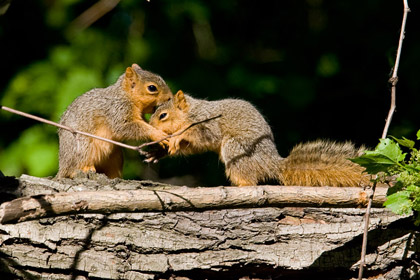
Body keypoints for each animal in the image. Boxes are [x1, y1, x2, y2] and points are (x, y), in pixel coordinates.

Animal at [148, 89, 368, 186]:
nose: (150, 127)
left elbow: (201, 135)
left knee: (249, 179)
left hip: (236, 148)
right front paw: (159, 151)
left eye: (163, 115)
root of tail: (271, 163)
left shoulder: (207, 122)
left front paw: (177, 136)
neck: (191, 112)